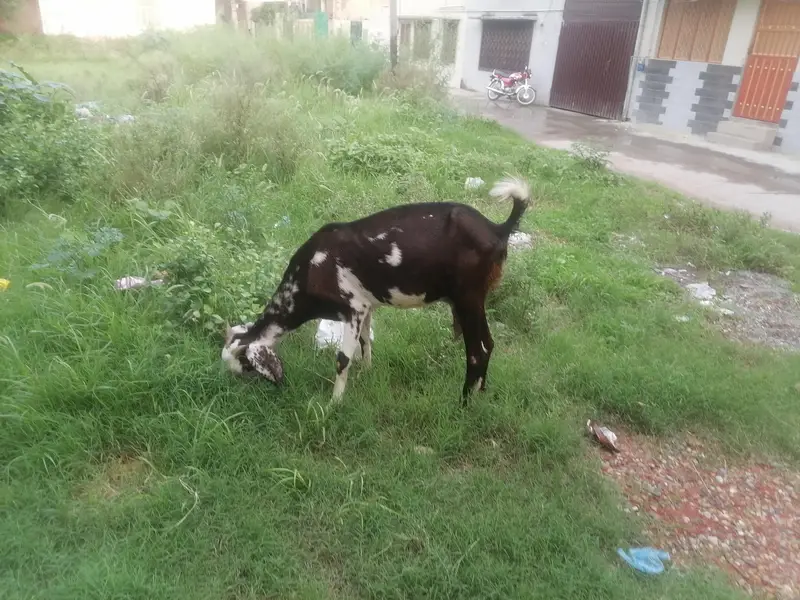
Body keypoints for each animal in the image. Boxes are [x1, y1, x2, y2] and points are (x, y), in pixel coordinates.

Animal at [222, 176, 531, 403]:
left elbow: (343, 359)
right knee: (489, 344)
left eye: (247, 366)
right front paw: (367, 372)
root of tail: (498, 229)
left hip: (468, 297)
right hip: (475, 300)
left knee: (478, 351)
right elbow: (366, 342)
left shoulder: (353, 307)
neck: (309, 271)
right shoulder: (367, 305)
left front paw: (333, 403)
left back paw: (463, 403)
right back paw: (480, 393)